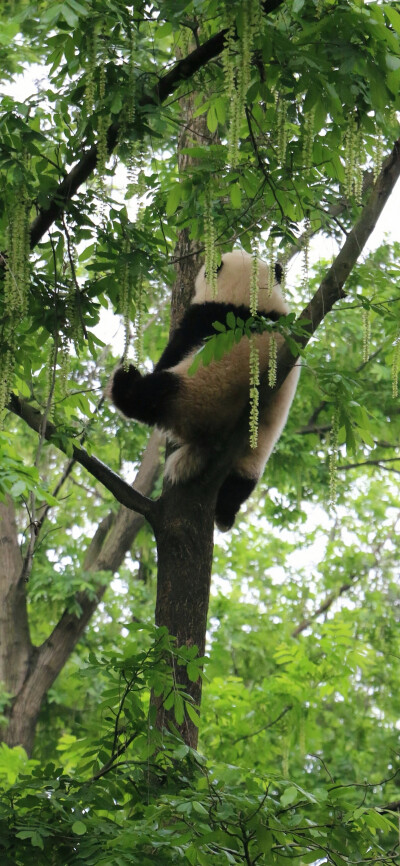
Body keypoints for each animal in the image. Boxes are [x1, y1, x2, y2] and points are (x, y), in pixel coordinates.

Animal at [109, 250, 300, 528]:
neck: (247, 296)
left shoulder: (203, 319)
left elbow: (175, 352)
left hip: (193, 397)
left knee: (147, 395)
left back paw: (124, 379)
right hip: (256, 450)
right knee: (240, 484)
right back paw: (225, 514)